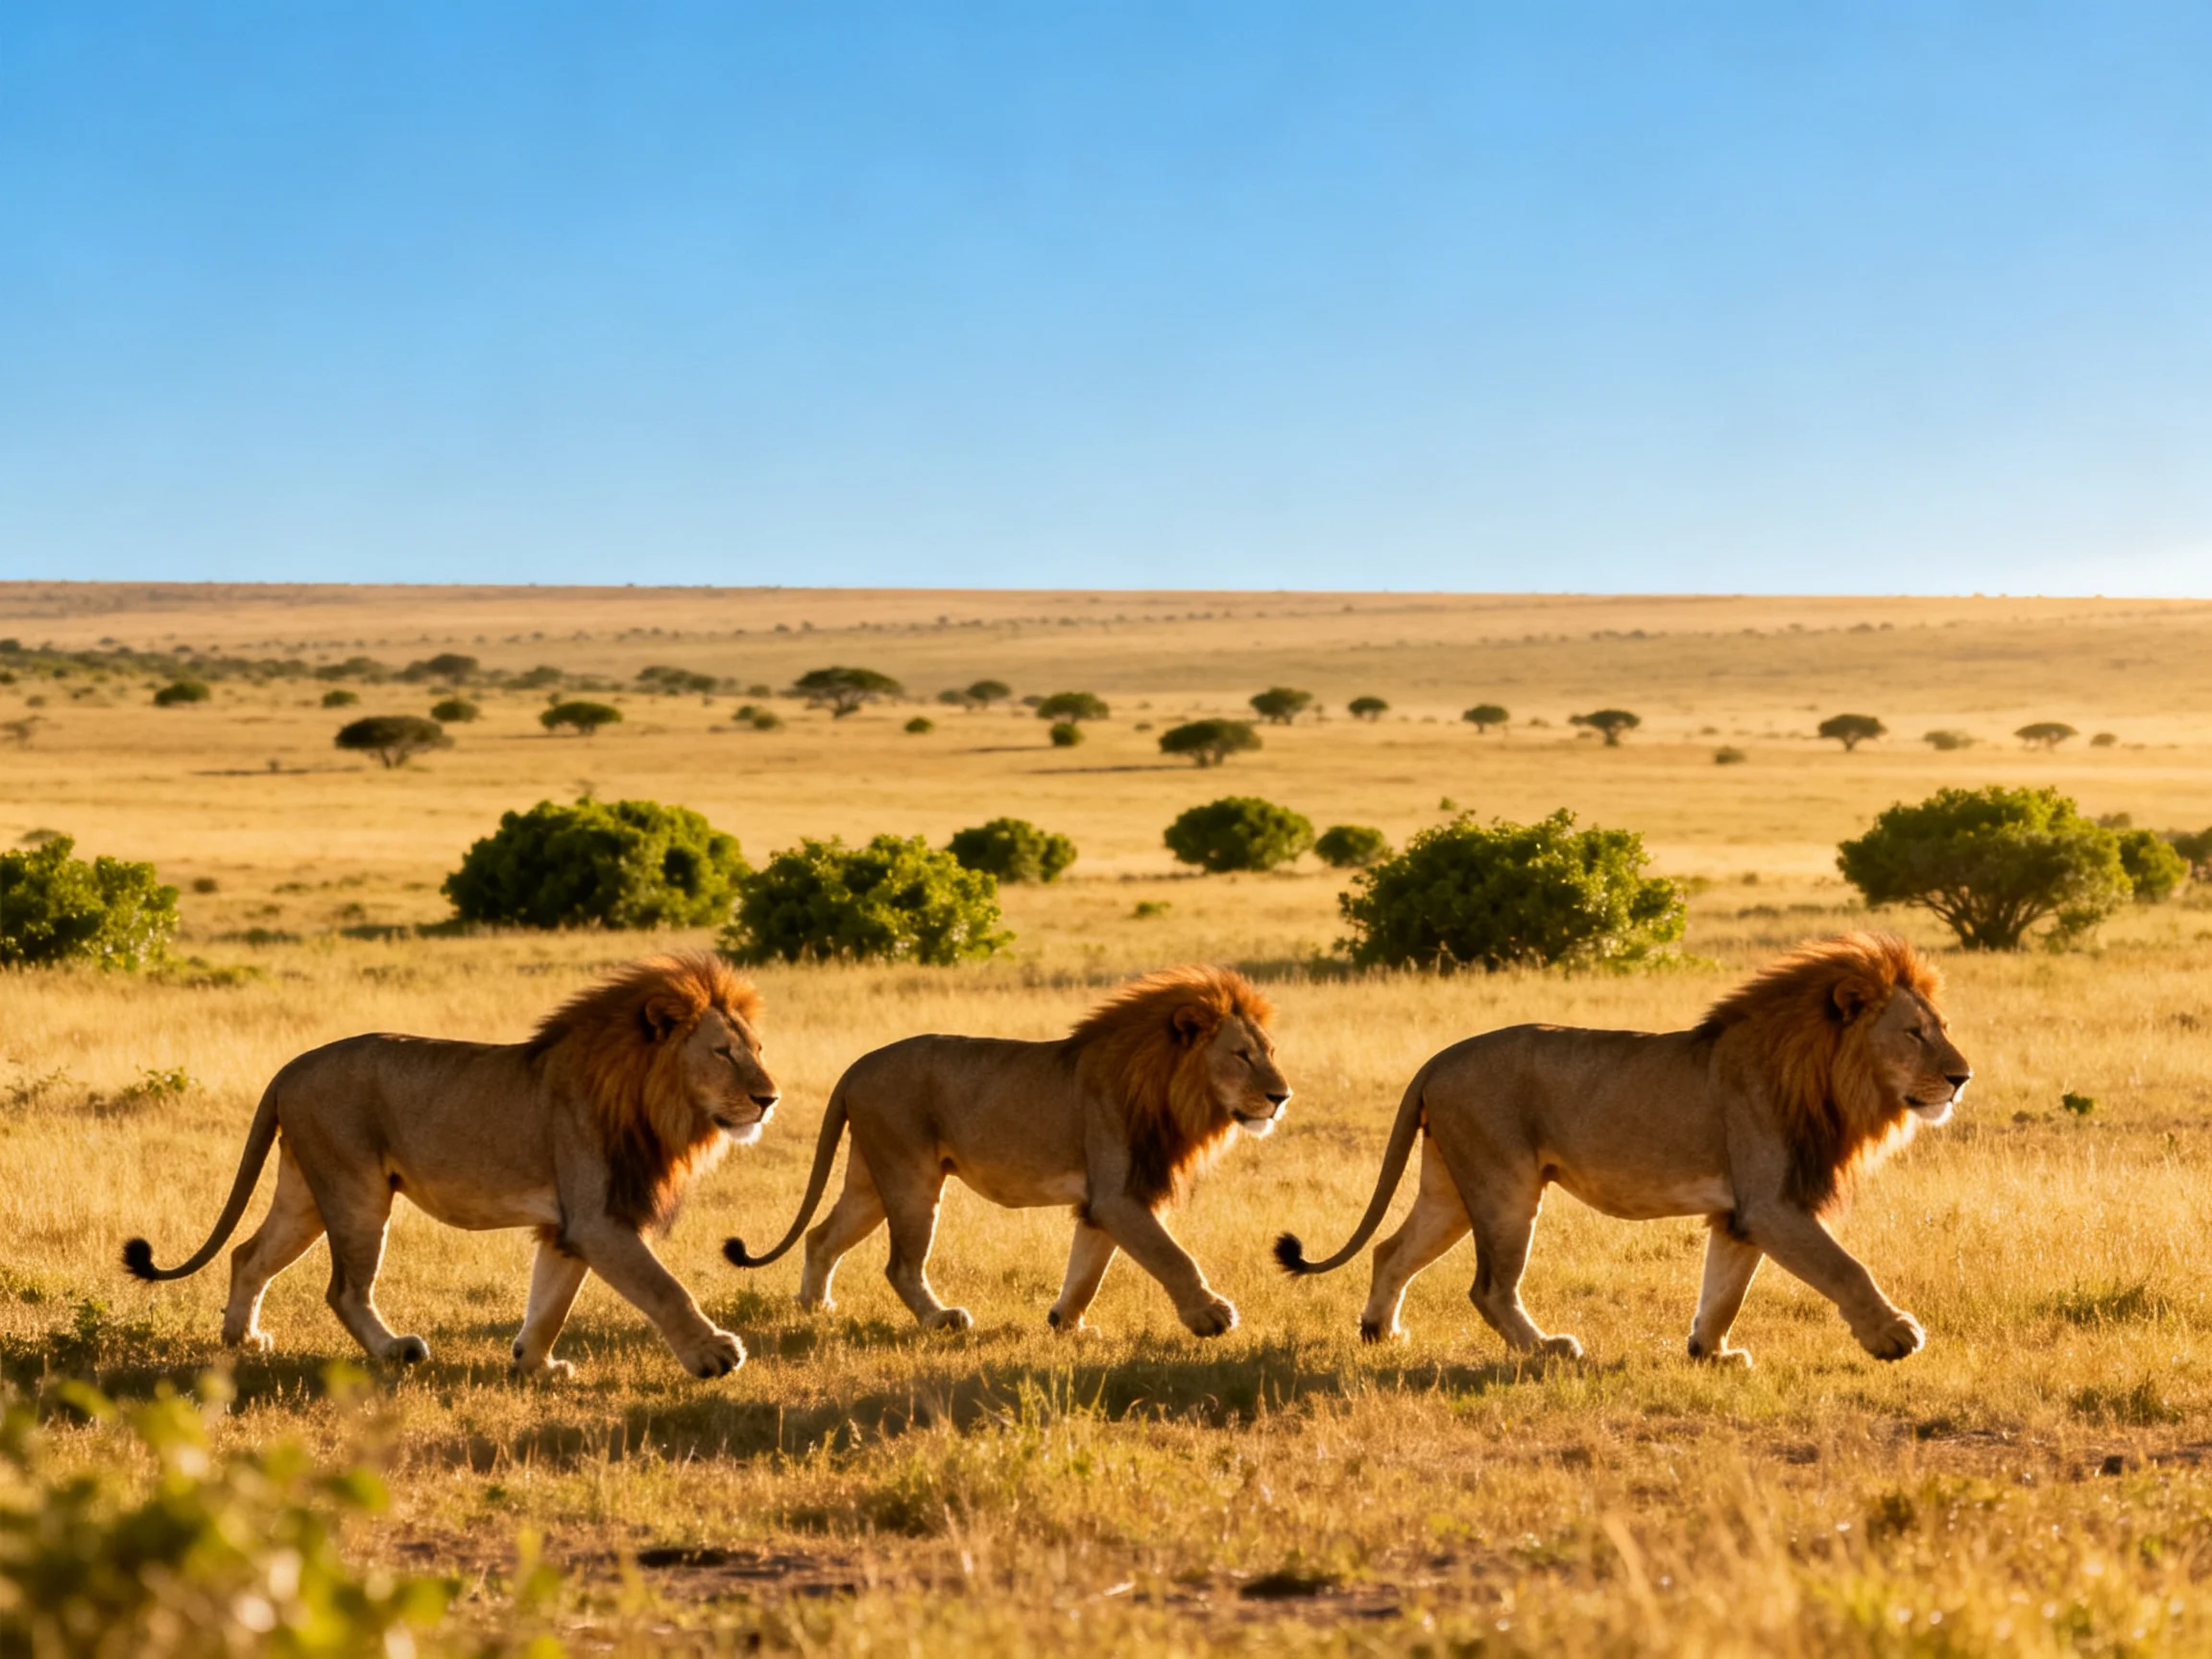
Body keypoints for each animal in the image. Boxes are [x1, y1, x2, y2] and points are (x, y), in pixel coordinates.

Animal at [122, 952, 778, 1380]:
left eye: (758, 1049)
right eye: (723, 1053)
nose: (769, 1099)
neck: (647, 1096)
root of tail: (291, 1067)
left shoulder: (567, 1226)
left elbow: (551, 1302)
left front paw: (535, 1365)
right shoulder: (599, 1219)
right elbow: (665, 1288)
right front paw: (714, 1354)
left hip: (305, 1191)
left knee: (249, 1254)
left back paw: (242, 1339)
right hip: (356, 1190)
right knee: (343, 1290)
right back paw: (394, 1352)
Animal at [723, 965, 1289, 1336]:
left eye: (1270, 1052)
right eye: (1241, 1055)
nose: (1282, 1097)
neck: (1166, 1088)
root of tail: (858, 1065)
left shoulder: (1103, 1202)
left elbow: (1088, 1269)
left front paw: (1066, 1324)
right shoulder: (1120, 1196)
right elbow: (1173, 1256)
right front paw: (1211, 1315)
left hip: (870, 1180)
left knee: (821, 1237)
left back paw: (814, 1308)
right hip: (910, 1177)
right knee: (900, 1265)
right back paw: (941, 1319)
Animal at [1275, 934, 1971, 1365]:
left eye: (1943, 1028)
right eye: (1914, 1033)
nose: (1962, 1077)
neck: (1824, 1076)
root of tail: (1439, 1058)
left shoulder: (1739, 1214)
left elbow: (1725, 1290)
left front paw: (1712, 1353)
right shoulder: (1774, 1205)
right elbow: (1845, 1267)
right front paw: (1894, 1334)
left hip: (1450, 1187)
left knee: (1392, 1250)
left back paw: (1380, 1332)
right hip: (1504, 1187)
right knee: (1489, 1288)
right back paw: (1546, 1350)